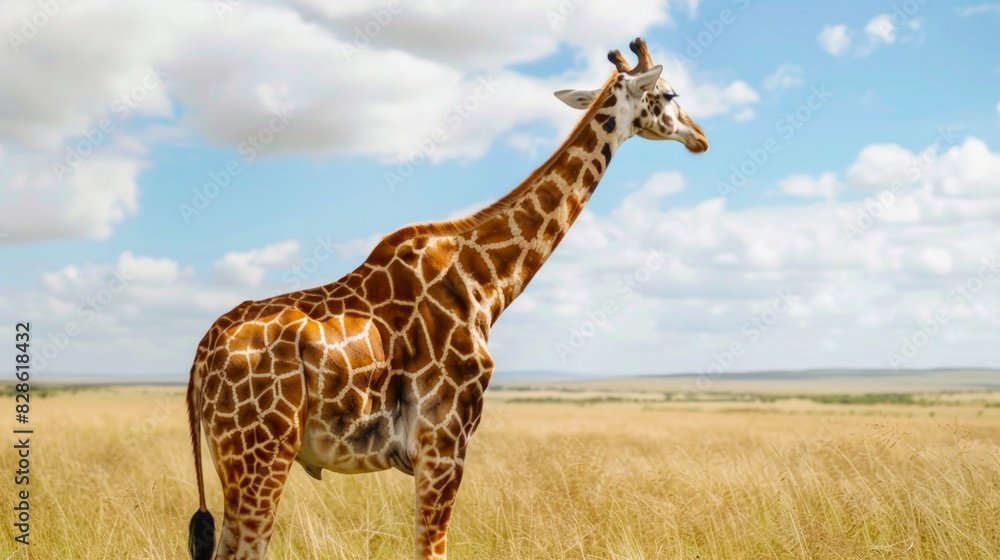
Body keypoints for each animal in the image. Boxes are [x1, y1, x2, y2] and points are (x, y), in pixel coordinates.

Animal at [186, 37, 708, 560]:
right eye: (669, 93)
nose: (701, 138)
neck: (487, 280)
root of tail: (202, 356)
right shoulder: (444, 443)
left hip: (237, 458)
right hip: (262, 452)